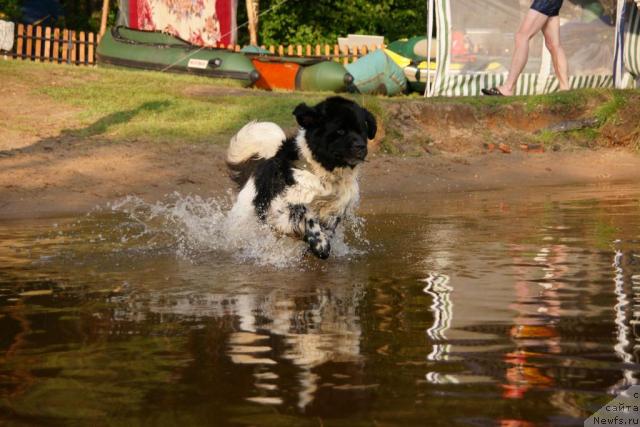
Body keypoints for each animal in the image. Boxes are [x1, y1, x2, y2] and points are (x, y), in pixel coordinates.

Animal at [226, 96, 376, 260]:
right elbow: (307, 215)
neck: (324, 172)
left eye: (362, 132)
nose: (361, 147)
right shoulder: (282, 207)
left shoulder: (335, 209)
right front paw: (320, 244)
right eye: (341, 131)